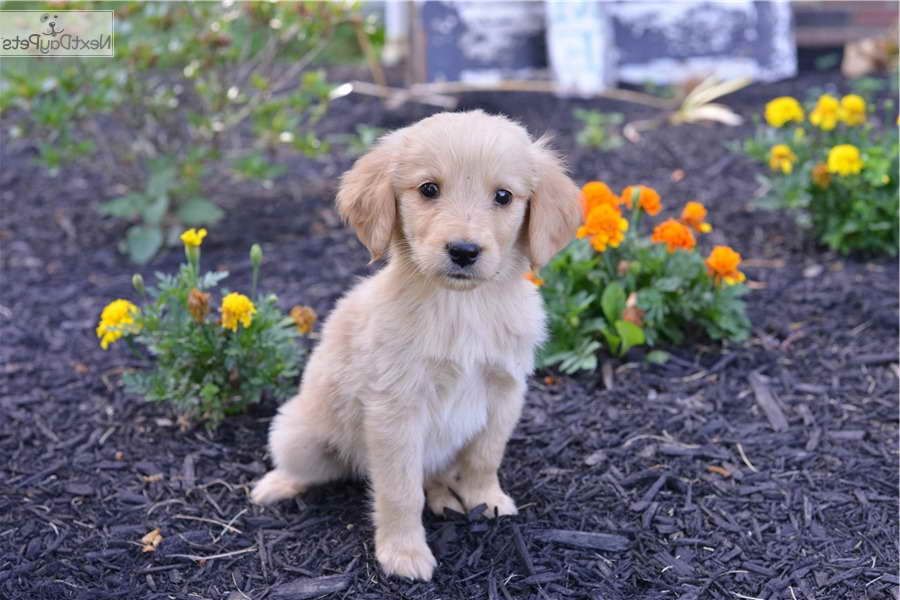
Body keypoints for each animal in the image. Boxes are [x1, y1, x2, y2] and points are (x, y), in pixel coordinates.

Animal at [250, 110, 580, 580]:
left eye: (503, 196)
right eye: (428, 189)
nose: (464, 251)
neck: (462, 306)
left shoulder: (505, 390)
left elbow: (485, 455)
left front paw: (487, 499)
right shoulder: (396, 408)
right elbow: (400, 490)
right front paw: (403, 553)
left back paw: (445, 495)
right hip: (300, 435)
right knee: (304, 465)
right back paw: (276, 485)